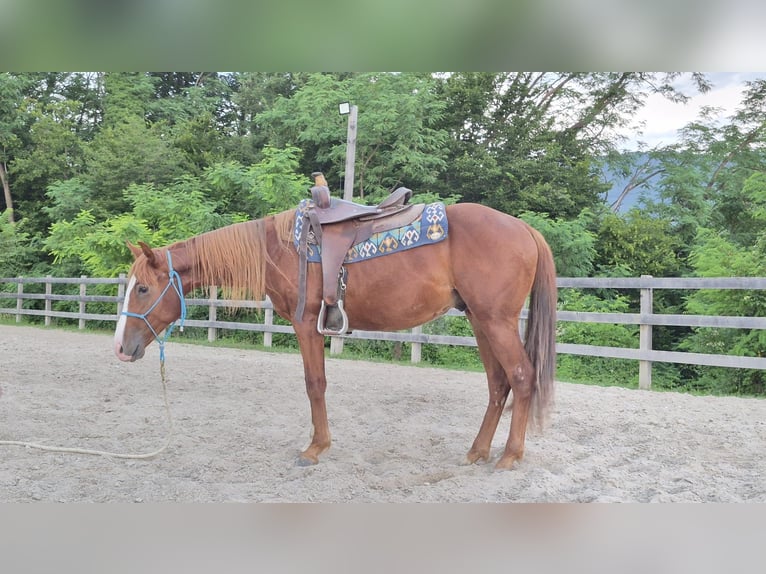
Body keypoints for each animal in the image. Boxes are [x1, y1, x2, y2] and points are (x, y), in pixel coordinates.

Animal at [113, 201, 557, 470]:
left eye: (143, 288)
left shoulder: (307, 323)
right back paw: (477, 451)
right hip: (481, 322)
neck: (279, 248)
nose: (120, 348)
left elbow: (315, 384)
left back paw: (510, 456)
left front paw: (315, 448)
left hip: (496, 321)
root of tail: (525, 229)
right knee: (498, 384)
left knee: (521, 377)